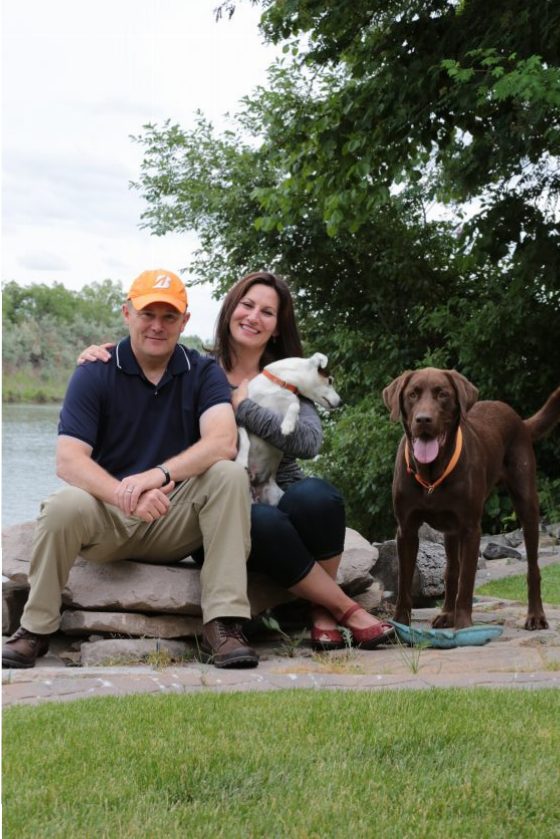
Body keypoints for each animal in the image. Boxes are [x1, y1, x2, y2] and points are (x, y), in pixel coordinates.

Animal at [235, 350, 342, 502]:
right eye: (330, 381)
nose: (341, 402)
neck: (281, 384)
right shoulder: (240, 413)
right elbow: (245, 440)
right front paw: (241, 460)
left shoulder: (292, 405)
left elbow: (294, 406)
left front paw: (287, 426)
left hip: (274, 495)